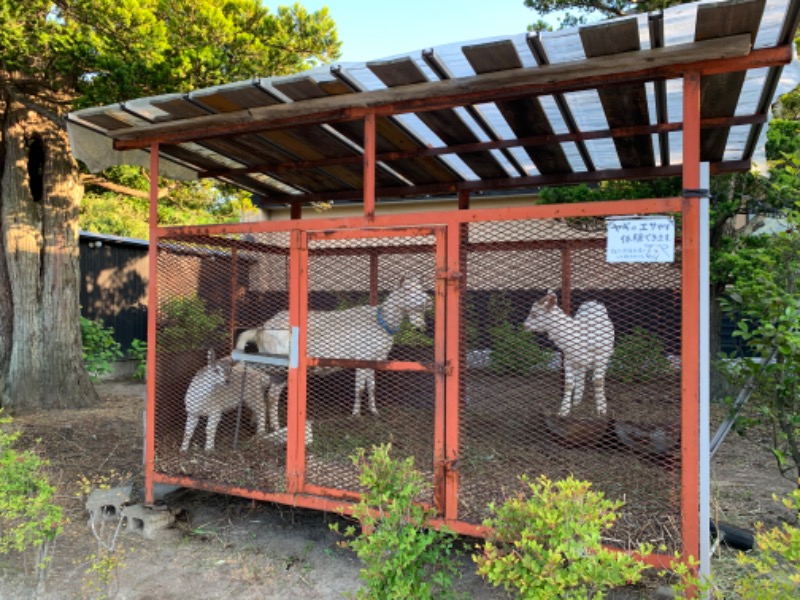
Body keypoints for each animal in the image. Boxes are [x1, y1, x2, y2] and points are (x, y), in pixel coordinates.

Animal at [234, 276, 428, 426]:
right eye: (407, 289)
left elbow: (372, 387)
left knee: (262, 386)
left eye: (421, 288)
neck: (381, 322)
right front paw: (356, 414)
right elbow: (360, 388)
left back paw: (257, 420)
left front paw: (374, 411)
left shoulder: (374, 359)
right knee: (272, 395)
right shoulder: (361, 357)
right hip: (280, 366)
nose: (427, 300)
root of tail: (262, 328)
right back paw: (274, 427)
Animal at [520, 290, 616, 418]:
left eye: (534, 313)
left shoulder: (601, 357)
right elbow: (569, 384)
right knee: (581, 377)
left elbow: (598, 382)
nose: (524, 325)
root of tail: (593, 302)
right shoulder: (568, 360)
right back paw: (576, 401)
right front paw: (564, 410)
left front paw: (602, 410)